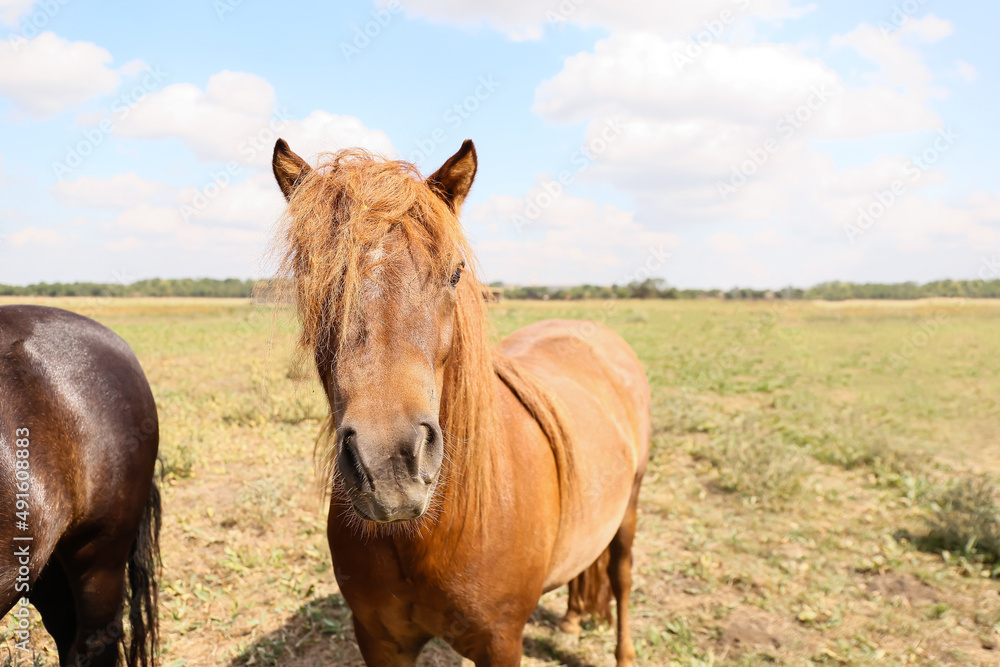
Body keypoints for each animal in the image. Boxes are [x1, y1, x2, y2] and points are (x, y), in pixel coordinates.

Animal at [272, 138, 648, 664]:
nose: (390, 465)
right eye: (310, 278)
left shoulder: (500, 642)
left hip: (630, 503)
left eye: (454, 274)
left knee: (621, 574)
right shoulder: (379, 639)